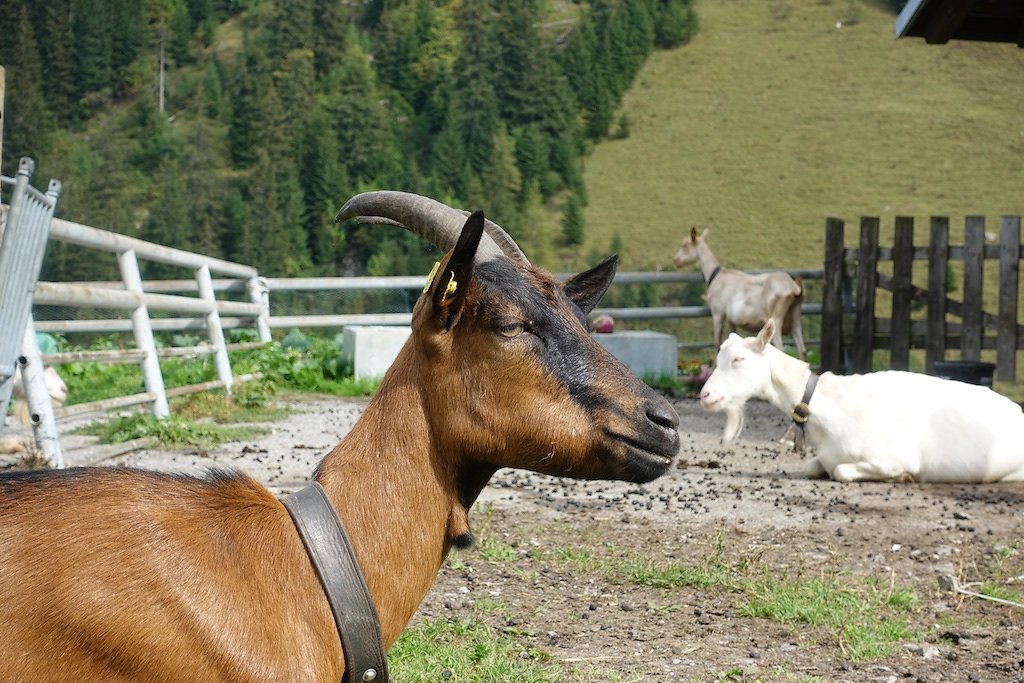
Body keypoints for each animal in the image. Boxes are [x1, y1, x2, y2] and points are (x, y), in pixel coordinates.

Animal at [671, 227, 806, 360]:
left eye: (684, 245)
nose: (676, 260)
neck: (717, 275)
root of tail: (794, 287)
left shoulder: (718, 313)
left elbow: (717, 343)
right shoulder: (732, 320)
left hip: (776, 318)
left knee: (781, 349)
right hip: (795, 315)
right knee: (802, 350)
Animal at [700, 321, 1024, 485]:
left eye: (738, 359)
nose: (705, 395)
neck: (829, 406)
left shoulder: (895, 456)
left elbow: (842, 472)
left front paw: (904, 477)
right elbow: (815, 466)